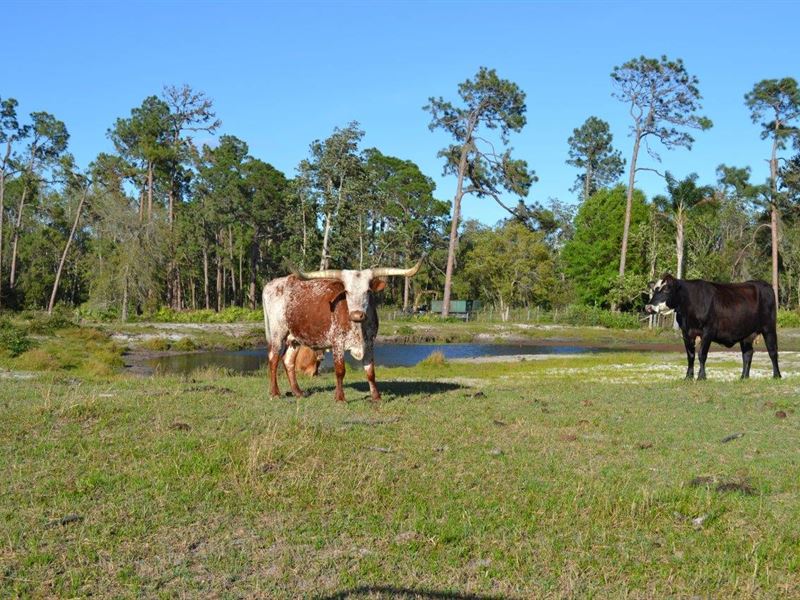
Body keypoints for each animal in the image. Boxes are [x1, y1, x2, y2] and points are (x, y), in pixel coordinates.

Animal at [262, 260, 424, 400]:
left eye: (368, 291)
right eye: (346, 292)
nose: (357, 314)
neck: (358, 329)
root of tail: (272, 283)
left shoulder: (369, 343)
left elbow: (370, 372)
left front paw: (376, 397)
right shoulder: (337, 342)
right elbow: (340, 370)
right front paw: (340, 398)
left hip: (294, 337)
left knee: (288, 361)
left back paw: (298, 392)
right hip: (277, 333)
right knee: (273, 359)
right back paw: (275, 392)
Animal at [644, 276, 780, 380]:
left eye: (667, 289)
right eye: (654, 290)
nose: (648, 307)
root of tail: (764, 284)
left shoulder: (707, 332)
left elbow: (702, 354)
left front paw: (701, 377)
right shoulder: (686, 333)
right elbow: (690, 355)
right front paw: (688, 377)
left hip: (769, 328)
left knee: (773, 352)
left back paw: (777, 375)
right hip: (746, 334)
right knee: (747, 354)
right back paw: (743, 377)